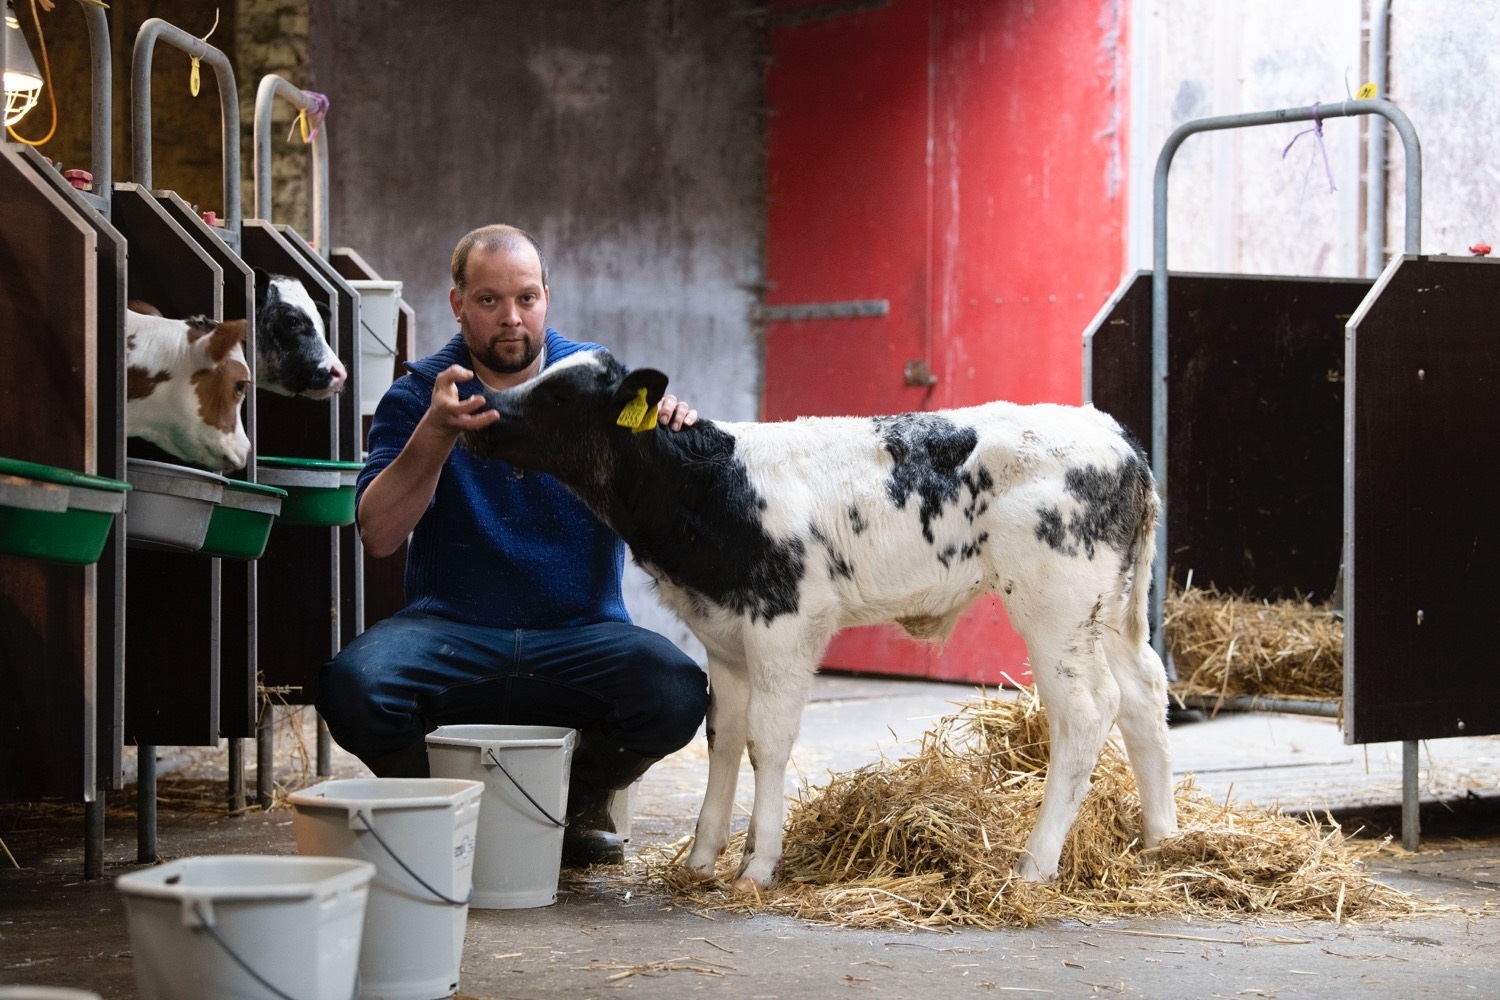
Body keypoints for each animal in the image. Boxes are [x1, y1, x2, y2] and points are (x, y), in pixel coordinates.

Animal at [462, 352, 1176, 893]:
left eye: (559, 396)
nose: (478, 410)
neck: (713, 489)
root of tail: (1116, 438)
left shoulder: (785, 625)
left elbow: (769, 743)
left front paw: (758, 866)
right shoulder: (725, 637)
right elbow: (724, 738)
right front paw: (701, 859)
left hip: (1056, 606)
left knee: (1087, 711)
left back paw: (1035, 864)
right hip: (1110, 610)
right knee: (1144, 693)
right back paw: (1161, 841)